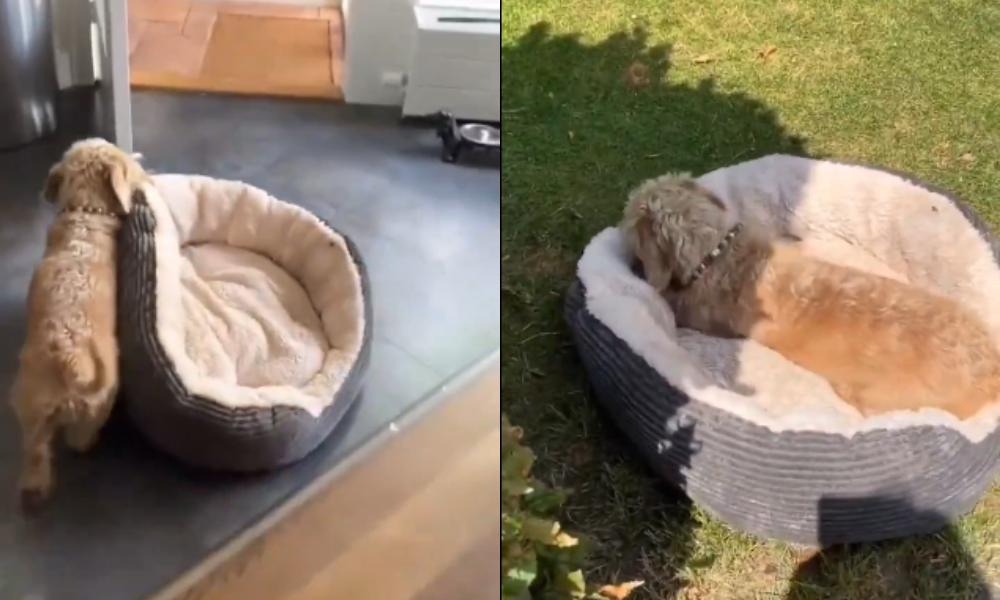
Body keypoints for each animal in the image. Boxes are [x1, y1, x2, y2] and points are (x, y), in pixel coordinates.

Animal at [12, 138, 148, 508]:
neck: (86, 214)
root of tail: (70, 360)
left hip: (37, 408)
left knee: (39, 451)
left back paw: (35, 488)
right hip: (87, 405)